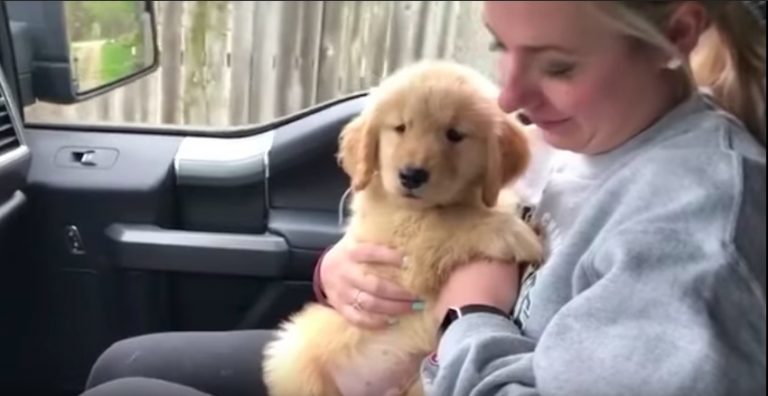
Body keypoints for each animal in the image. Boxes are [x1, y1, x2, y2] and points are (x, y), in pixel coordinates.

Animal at [260, 60, 544, 396]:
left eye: (454, 134)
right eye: (400, 127)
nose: (411, 175)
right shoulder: (397, 245)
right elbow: (446, 222)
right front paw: (512, 232)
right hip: (293, 350)